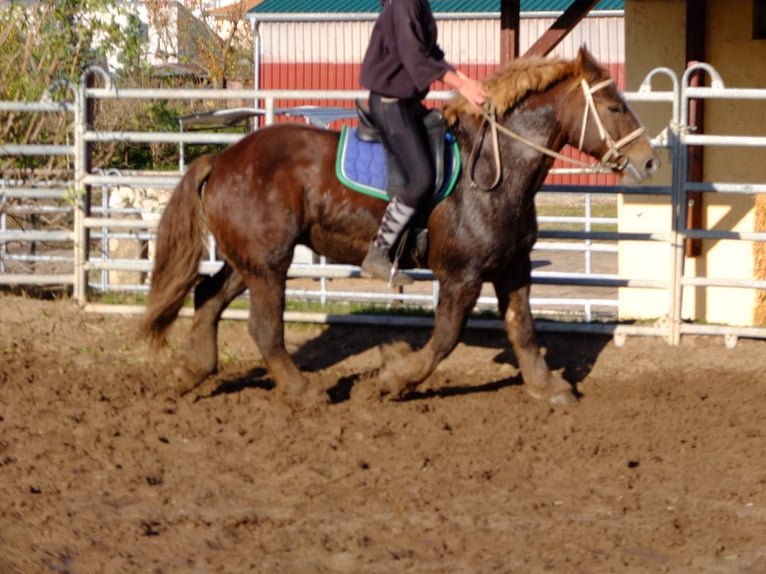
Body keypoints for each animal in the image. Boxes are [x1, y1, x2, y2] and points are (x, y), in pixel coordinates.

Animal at [142, 50, 660, 410]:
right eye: (614, 107)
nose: (650, 161)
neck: (496, 167)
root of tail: (224, 157)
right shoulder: (462, 275)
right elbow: (446, 338)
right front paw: (395, 379)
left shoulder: (512, 267)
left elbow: (523, 329)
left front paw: (547, 387)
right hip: (269, 263)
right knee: (264, 328)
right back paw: (302, 392)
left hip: (247, 259)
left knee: (208, 297)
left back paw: (191, 373)